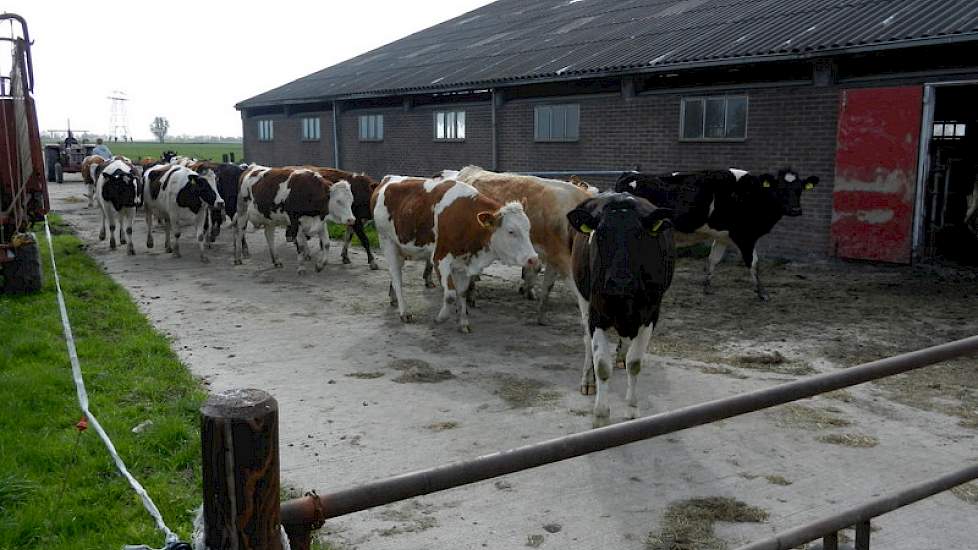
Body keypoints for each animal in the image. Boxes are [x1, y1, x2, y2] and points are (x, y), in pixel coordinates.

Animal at [372, 175, 536, 334]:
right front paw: (440, 318)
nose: (533, 259)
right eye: (511, 231)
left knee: (394, 274)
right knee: (397, 277)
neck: (466, 220)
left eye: (528, 229)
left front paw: (463, 323)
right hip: (387, 241)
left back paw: (393, 297)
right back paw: (404, 312)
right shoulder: (440, 258)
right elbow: (450, 295)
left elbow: (462, 293)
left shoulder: (465, 262)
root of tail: (387, 179)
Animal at [568, 195, 676, 432]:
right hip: (582, 295)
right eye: (600, 234)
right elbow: (601, 365)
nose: (619, 281)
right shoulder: (596, 313)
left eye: (639, 234)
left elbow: (634, 363)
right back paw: (588, 380)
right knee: (587, 340)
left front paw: (632, 409)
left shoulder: (651, 314)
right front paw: (600, 415)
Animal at [616, 168, 816, 302]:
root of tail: (631, 174)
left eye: (800, 189)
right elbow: (754, 263)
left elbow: (713, 260)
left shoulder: (722, 237)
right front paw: (762, 293)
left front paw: (707, 287)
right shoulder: (745, 236)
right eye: (780, 189)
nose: (795, 210)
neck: (752, 195)